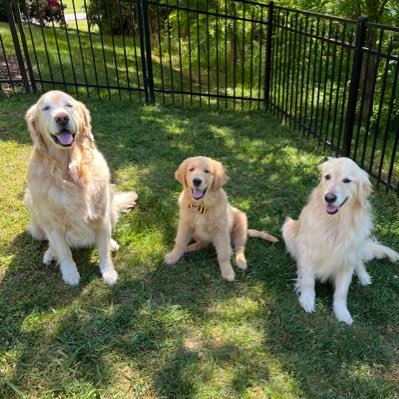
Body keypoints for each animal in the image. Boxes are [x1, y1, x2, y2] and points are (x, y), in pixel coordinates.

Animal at [25, 90, 138, 288]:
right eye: (45, 108)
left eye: (69, 105)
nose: (62, 118)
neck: (69, 171)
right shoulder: (54, 224)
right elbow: (64, 252)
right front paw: (70, 274)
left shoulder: (101, 216)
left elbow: (103, 251)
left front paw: (108, 272)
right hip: (34, 213)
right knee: (50, 242)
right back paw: (50, 254)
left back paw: (112, 243)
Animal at [282, 156, 398, 324]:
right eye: (327, 177)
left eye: (347, 180)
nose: (329, 198)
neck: (336, 222)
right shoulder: (308, 250)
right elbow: (309, 281)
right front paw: (307, 300)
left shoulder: (347, 258)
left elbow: (342, 292)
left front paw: (342, 313)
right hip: (288, 227)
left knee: (360, 262)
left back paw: (364, 277)